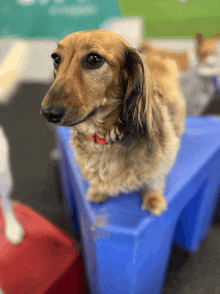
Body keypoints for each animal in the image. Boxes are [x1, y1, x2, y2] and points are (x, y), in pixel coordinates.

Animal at [40, 30, 185, 216]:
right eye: (56, 58)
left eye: (94, 59)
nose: (48, 113)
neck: (105, 138)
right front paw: (99, 190)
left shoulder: (161, 157)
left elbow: (154, 179)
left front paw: (153, 198)